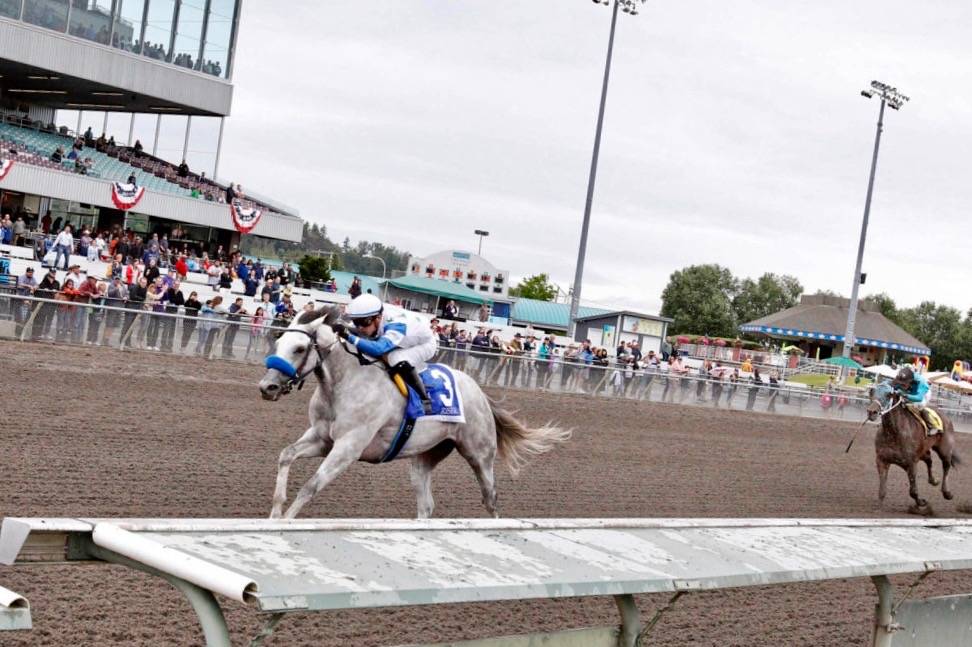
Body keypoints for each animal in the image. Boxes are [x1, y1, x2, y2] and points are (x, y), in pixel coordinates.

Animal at [258, 308, 568, 520]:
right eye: (278, 343)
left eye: (299, 348)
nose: (267, 387)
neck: (343, 385)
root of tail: (480, 393)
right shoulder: (322, 439)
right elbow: (286, 455)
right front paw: (275, 513)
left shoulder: (348, 447)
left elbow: (310, 486)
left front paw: (284, 522)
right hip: (424, 457)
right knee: (426, 505)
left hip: (480, 455)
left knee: (490, 498)